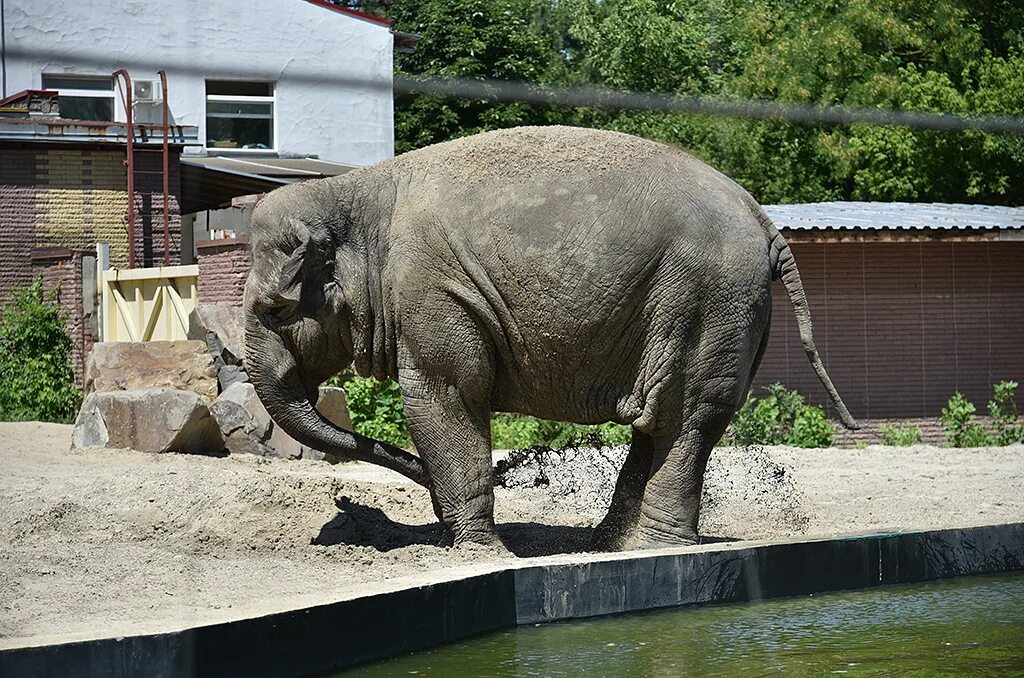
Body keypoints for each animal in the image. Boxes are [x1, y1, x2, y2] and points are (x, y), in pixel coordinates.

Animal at [243, 125, 860, 553]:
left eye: (275, 310)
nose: (344, 500)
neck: (357, 190)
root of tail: (765, 220)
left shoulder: (430, 291)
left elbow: (446, 396)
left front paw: (481, 551)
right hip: (723, 308)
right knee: (664, 419)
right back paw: (607, 546)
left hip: (710, 298)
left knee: (682, 414)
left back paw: (654, 546)